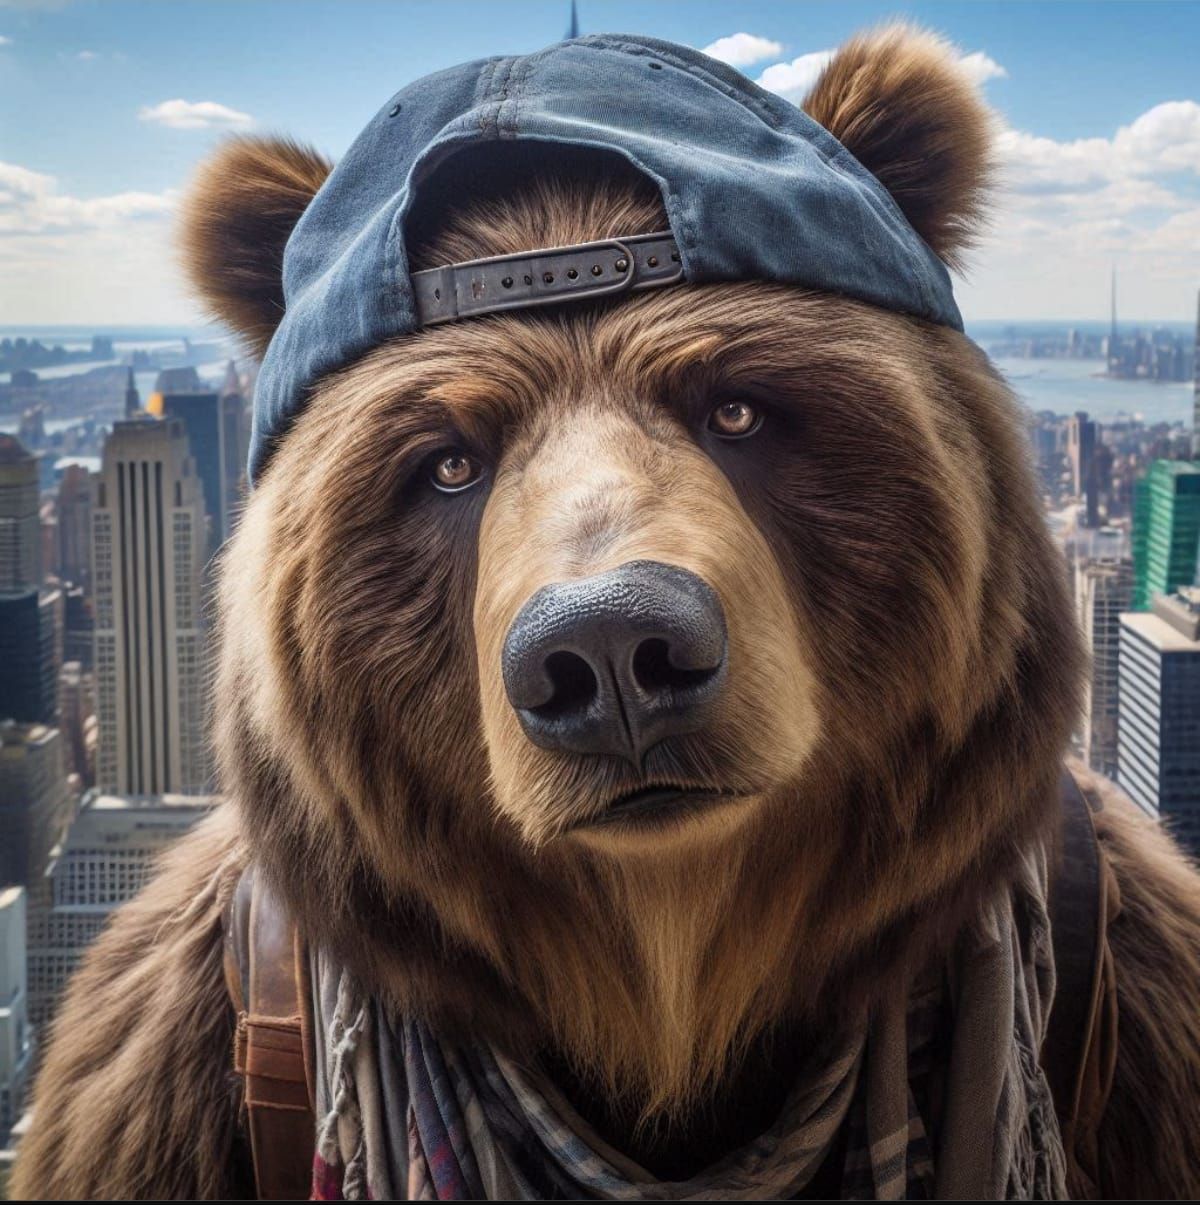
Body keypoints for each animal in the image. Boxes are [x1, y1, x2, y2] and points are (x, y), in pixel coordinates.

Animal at [12, 24, 1200, 1201]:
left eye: (738, 407)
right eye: (449, 464)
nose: (613, 644)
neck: (668, 974)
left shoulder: (1149, 983)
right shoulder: (164, 1048)